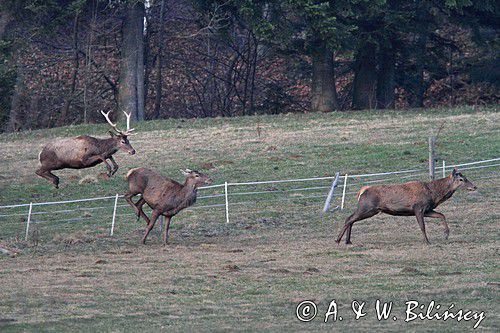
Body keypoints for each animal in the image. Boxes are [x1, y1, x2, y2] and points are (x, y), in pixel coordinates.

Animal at [336, 169, 476, 244]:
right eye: (461, 179)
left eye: (466, 177)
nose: (474, 186)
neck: (433, 194)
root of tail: (361, 191)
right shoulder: (418, 208)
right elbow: (422, 226)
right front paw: (427, 241)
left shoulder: (427, 209)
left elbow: (441, 215)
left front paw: (446, 235)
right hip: (367, 207)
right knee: (349, 218)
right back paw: (338, 240)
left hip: (367, 209)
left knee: (351, 219)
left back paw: (347, 241)